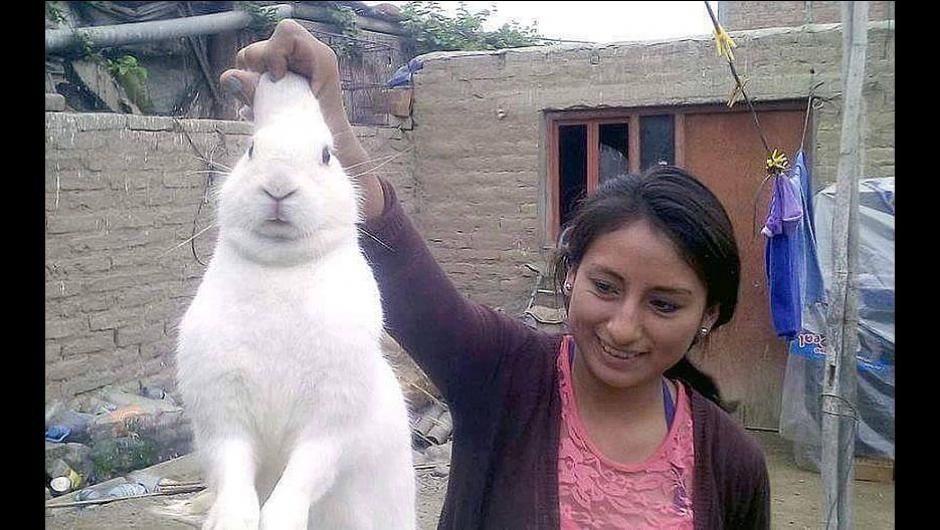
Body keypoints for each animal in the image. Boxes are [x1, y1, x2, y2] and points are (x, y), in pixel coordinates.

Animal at [175, 71, 415, 530]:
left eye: (326, 156)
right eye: (251, 150)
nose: (279, 187)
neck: (281, 267)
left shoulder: (330, 422)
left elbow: (304, 474)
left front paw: (279, 520)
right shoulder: (223, 418)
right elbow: (233, 471)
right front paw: (233, 520)